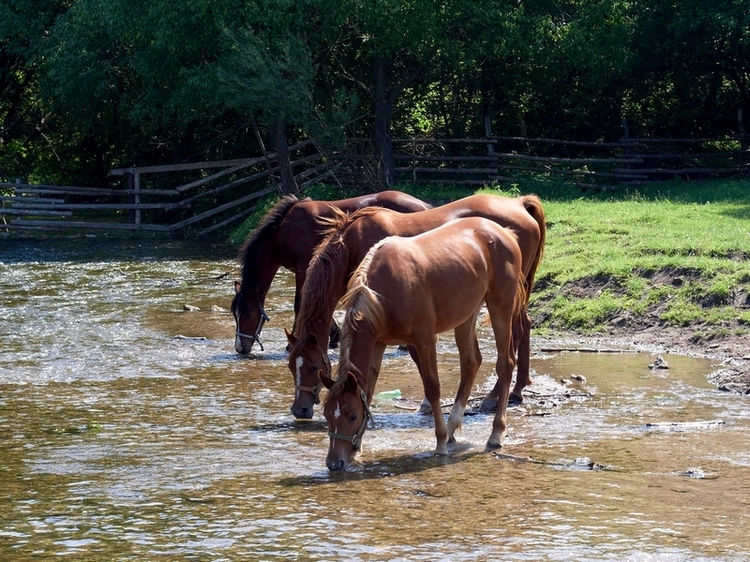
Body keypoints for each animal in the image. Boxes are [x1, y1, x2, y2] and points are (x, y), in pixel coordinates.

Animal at [231, 190, 428, 352]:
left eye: (248, 314)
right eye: (235, 314)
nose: (241, 348)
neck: (284, 230)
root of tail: (424, 206)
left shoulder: (302, 270)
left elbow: (299, 304)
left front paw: (292, 343)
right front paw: (333, 336)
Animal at [284, 192, 544, 416]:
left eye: (312, 366)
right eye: (291, 366)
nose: (300, 410)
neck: (352, 245)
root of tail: (520, 203)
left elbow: (417, 357)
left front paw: (428, 403)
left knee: (514, 336)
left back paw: (497, 395)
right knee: (524, 326)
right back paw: (517, 389)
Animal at [320, 217, 524, 470]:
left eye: (352, 416)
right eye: (327, 415)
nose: (334, 463)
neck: (383, 293)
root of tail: (503, 232)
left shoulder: (424, 340)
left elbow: (433, 387)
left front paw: (440, 443)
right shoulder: (378, 343)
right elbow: (368, 390)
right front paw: (358, 450)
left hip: (500, 307)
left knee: (505, 365)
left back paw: (495, 434)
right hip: (466, 315)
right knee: (471, 363)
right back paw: (453, 426)